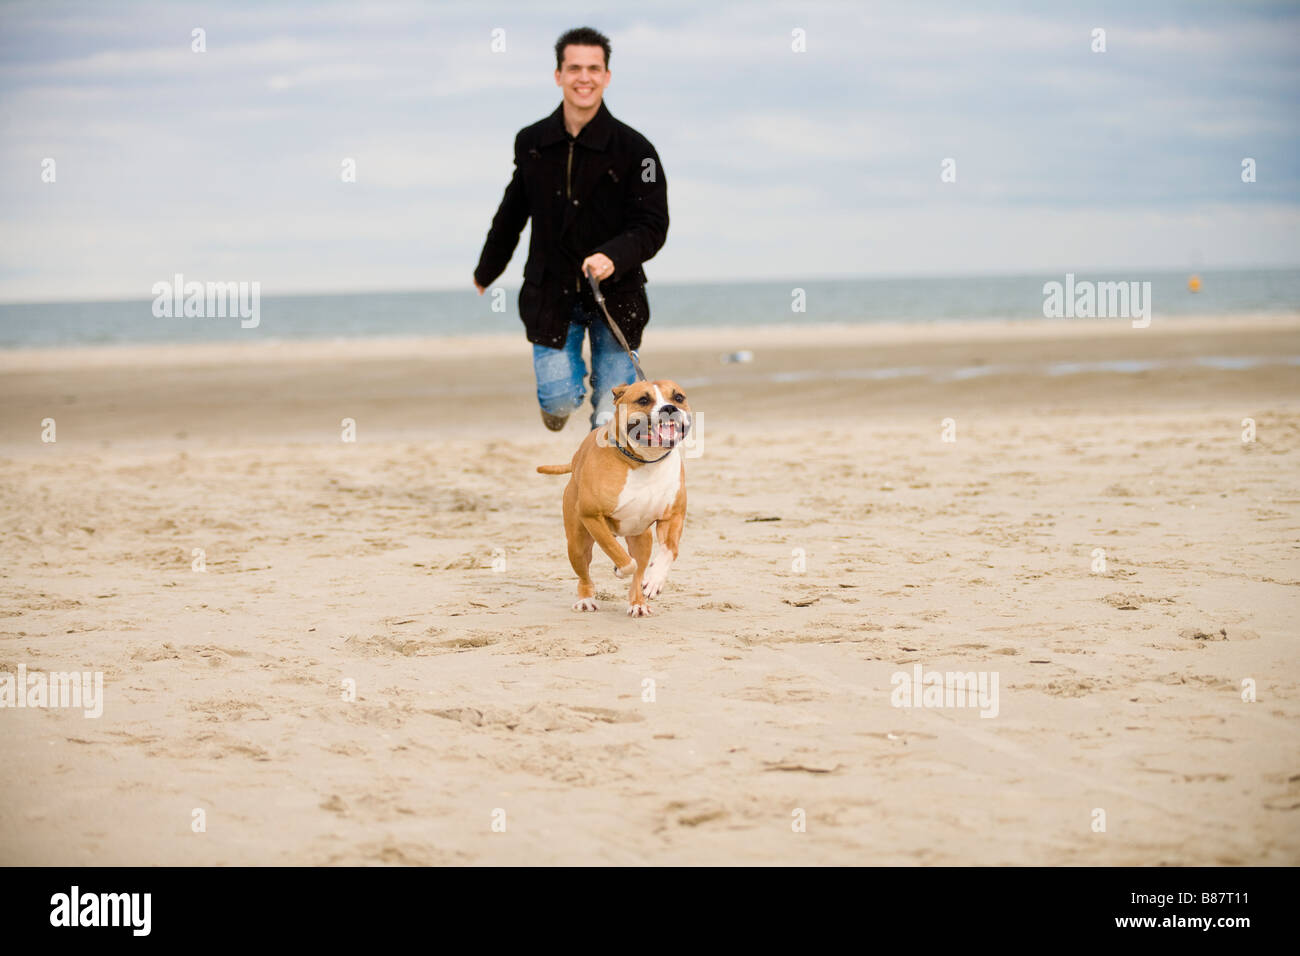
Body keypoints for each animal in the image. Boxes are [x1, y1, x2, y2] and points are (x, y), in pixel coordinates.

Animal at [535, 377, 696, 616]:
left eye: (678, 397)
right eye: (643, 400)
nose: (669, 408)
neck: (645, 462)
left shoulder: (672, 517)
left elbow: (668, 551)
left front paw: (654, 580)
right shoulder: (592, 516)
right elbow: (623, 558)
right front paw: (621, 569)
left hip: (641, 538)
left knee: (639, 567)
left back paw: (638, 603)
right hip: (577, 543)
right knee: (585, 574)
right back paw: (586, 600)